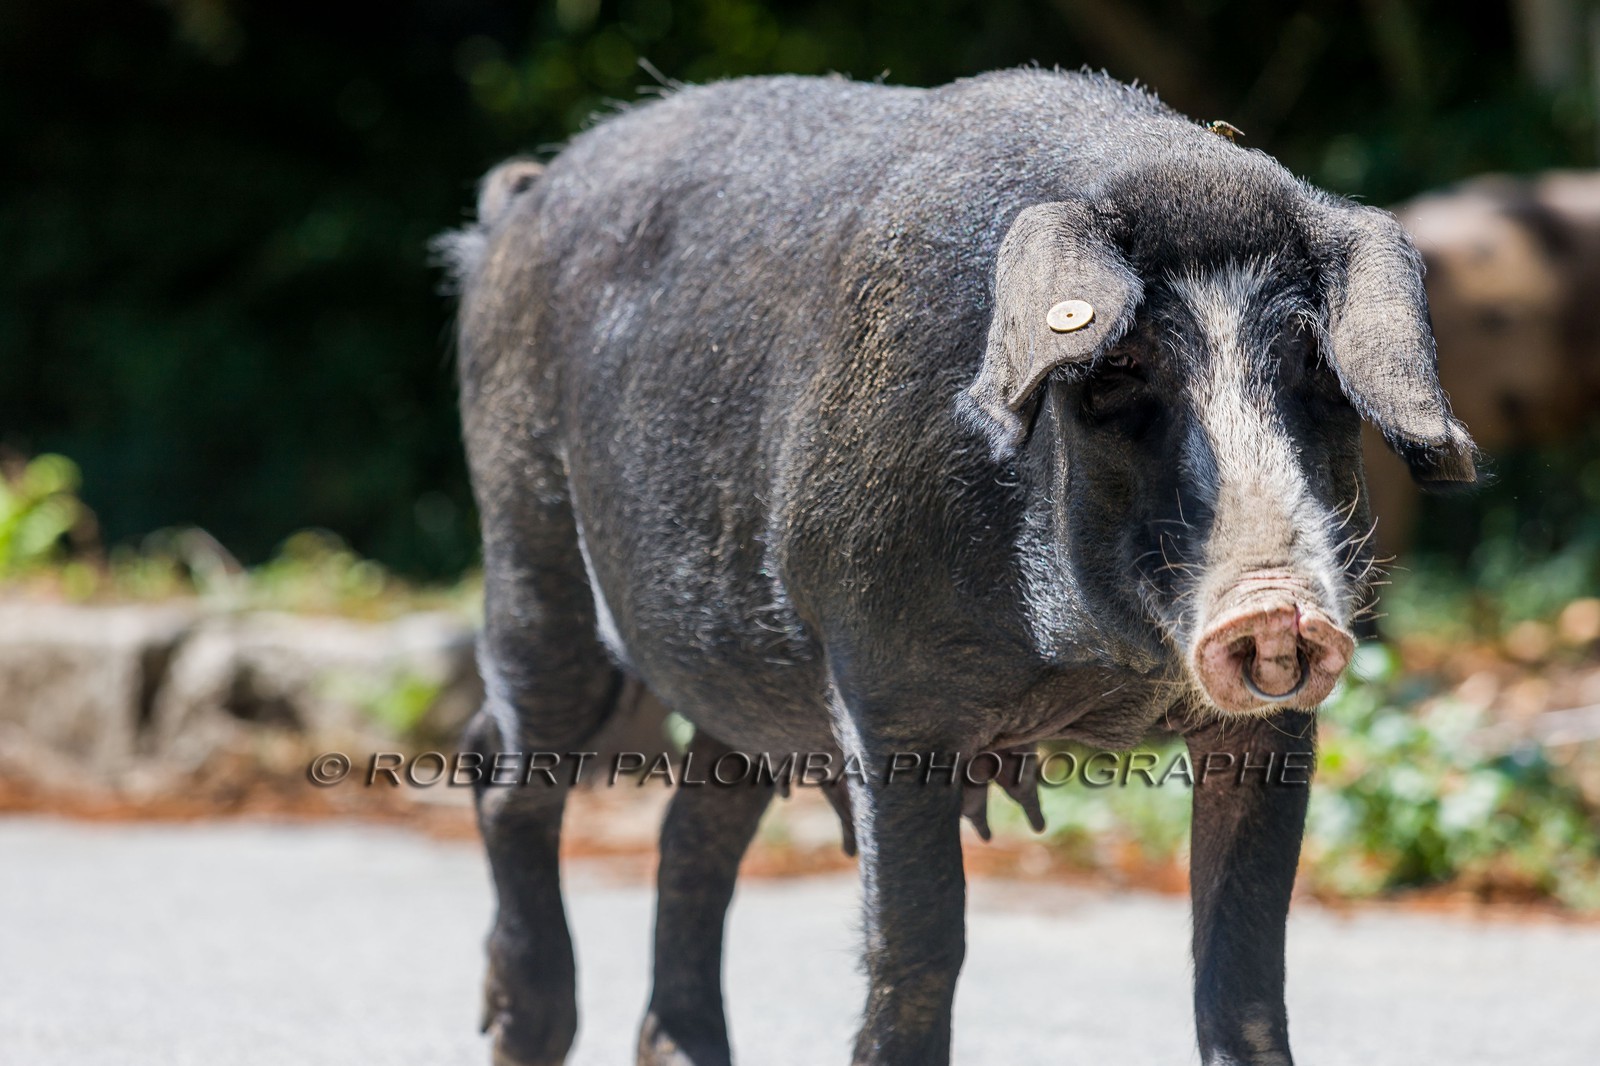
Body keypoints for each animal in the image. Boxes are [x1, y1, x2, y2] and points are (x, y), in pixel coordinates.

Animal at [440, 70, 1477, 1066]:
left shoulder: (1272, 731)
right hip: (526, 540)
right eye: (1116, 371)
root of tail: (520, 202)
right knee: (510, 773)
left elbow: (1247, 964)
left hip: (743, 680)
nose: (1275, 606)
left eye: (1312, 367)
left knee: (692, 827)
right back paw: (517, 1033)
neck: (1086, 672)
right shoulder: (881, 684)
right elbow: (921, 942)